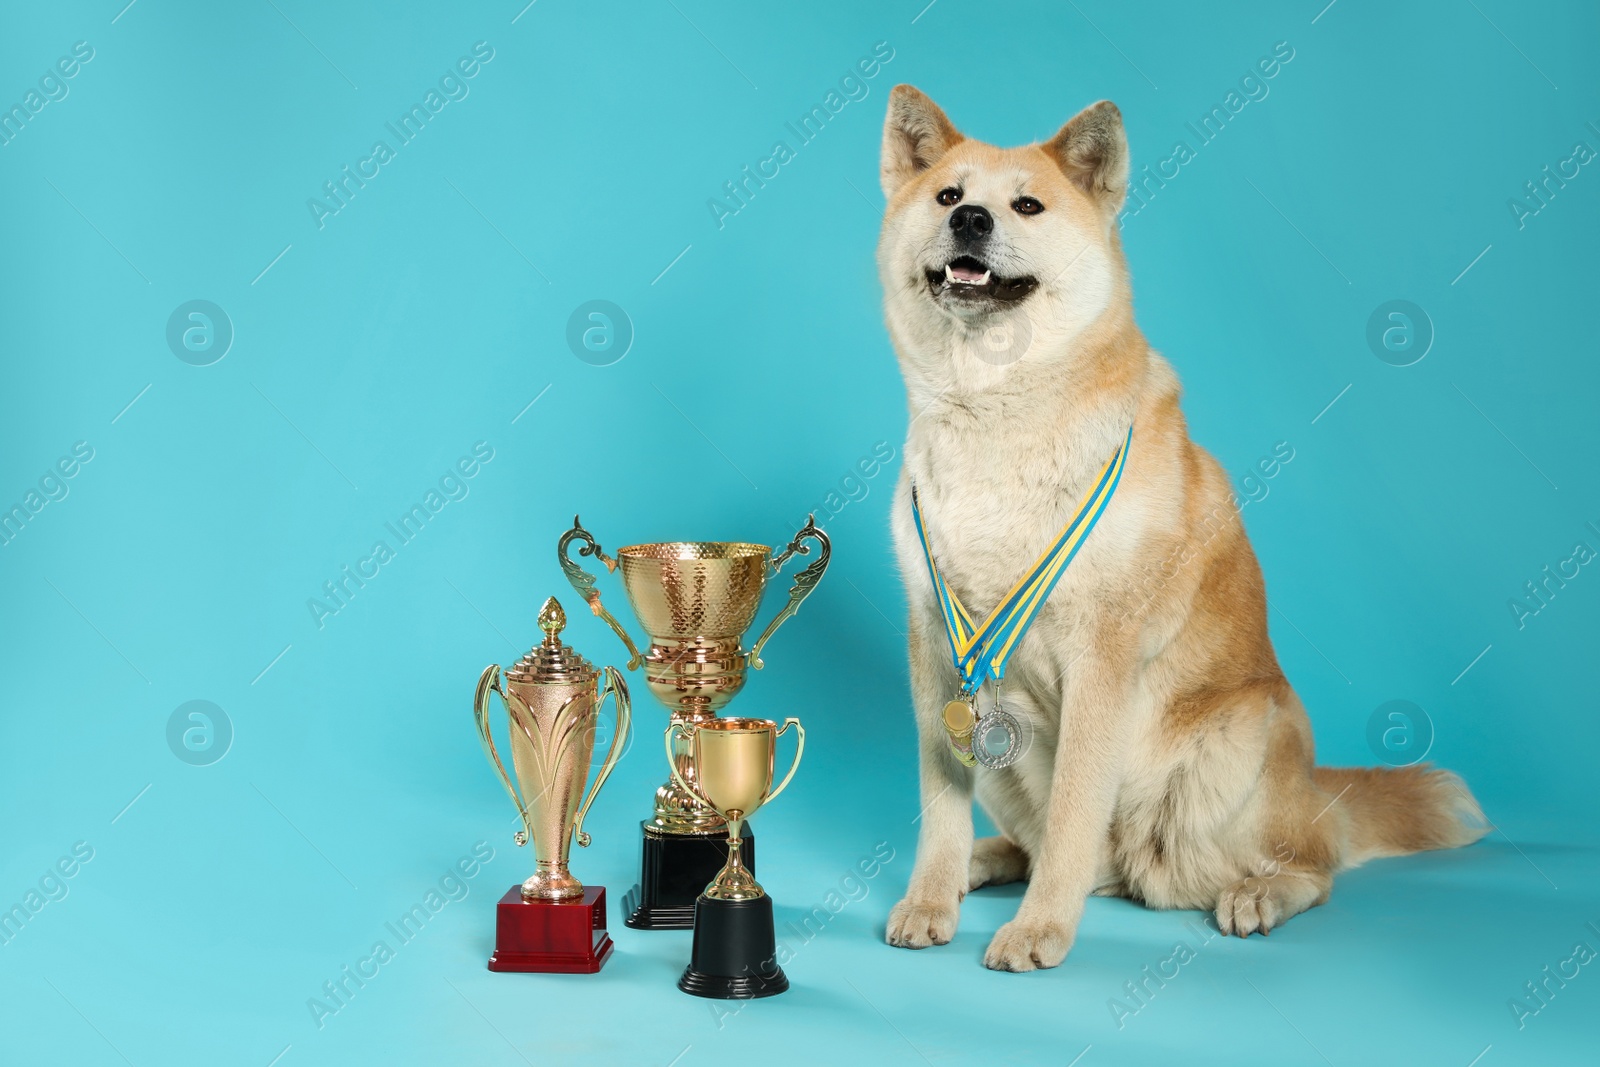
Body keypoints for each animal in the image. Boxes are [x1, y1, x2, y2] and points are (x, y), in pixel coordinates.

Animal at [876, 87, 1484, 972]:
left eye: (1027, 205)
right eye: (948, 195)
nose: (971, 221)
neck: (999, 409)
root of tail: (1321, 792)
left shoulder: (1102, 655)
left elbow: (1074, 810)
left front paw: (1040, 927)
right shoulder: (936, 650)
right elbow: (941, 808)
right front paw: (932, 894)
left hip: (1237, 742)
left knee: (1304, 863)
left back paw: (1258, 893)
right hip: (1011, 751)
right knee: (1070, 852)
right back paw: (987, 863)